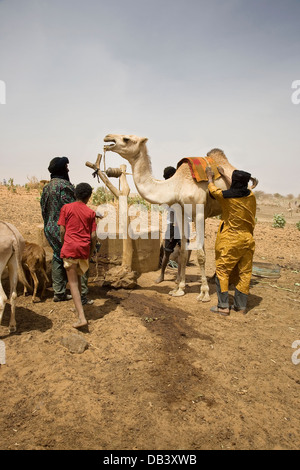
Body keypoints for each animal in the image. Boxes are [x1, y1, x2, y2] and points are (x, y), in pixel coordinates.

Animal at [103, 133, 258, 302]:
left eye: (126, 139)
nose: (107, 138)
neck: (176, 185)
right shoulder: (181, 212)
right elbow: (184, 252)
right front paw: (179, 289)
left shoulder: (199, 212)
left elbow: (201, 255)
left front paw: (204, 293)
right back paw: (215, 278)